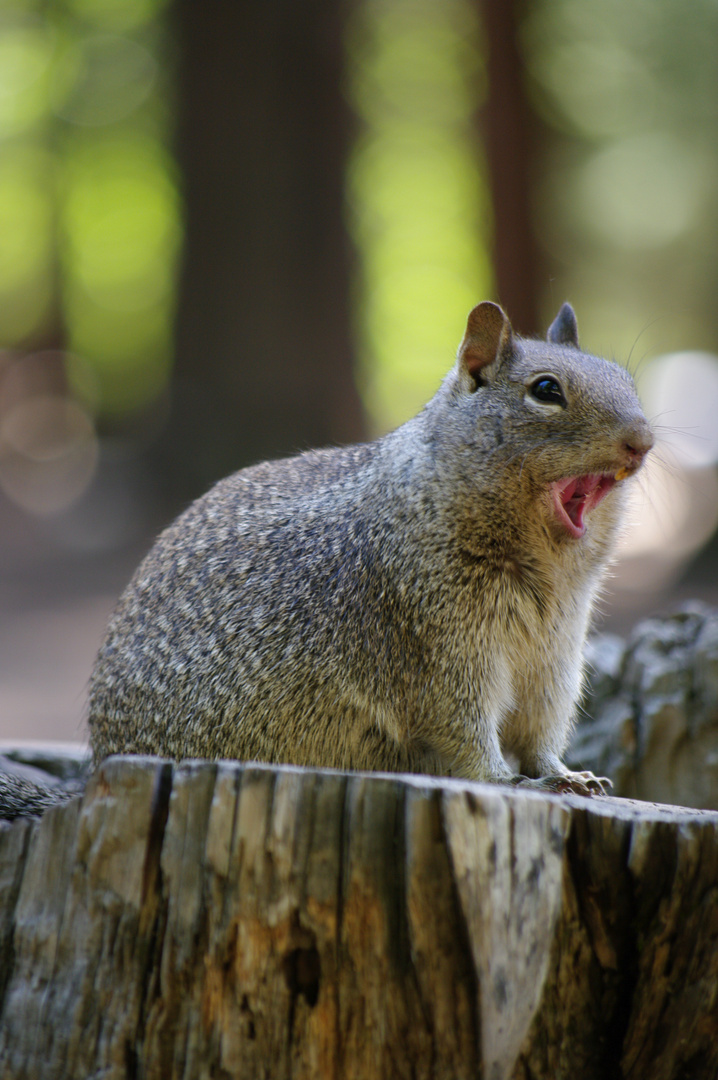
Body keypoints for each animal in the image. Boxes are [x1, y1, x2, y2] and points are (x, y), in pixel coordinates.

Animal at [0, 300, 652, 812]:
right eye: (545, 390)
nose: (642, 440)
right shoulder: (433, 645)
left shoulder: (554, 658)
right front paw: (511, 783)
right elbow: (464, 735)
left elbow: (540, 735)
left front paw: (566, 775)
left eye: (627, 380)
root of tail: (96, 776)